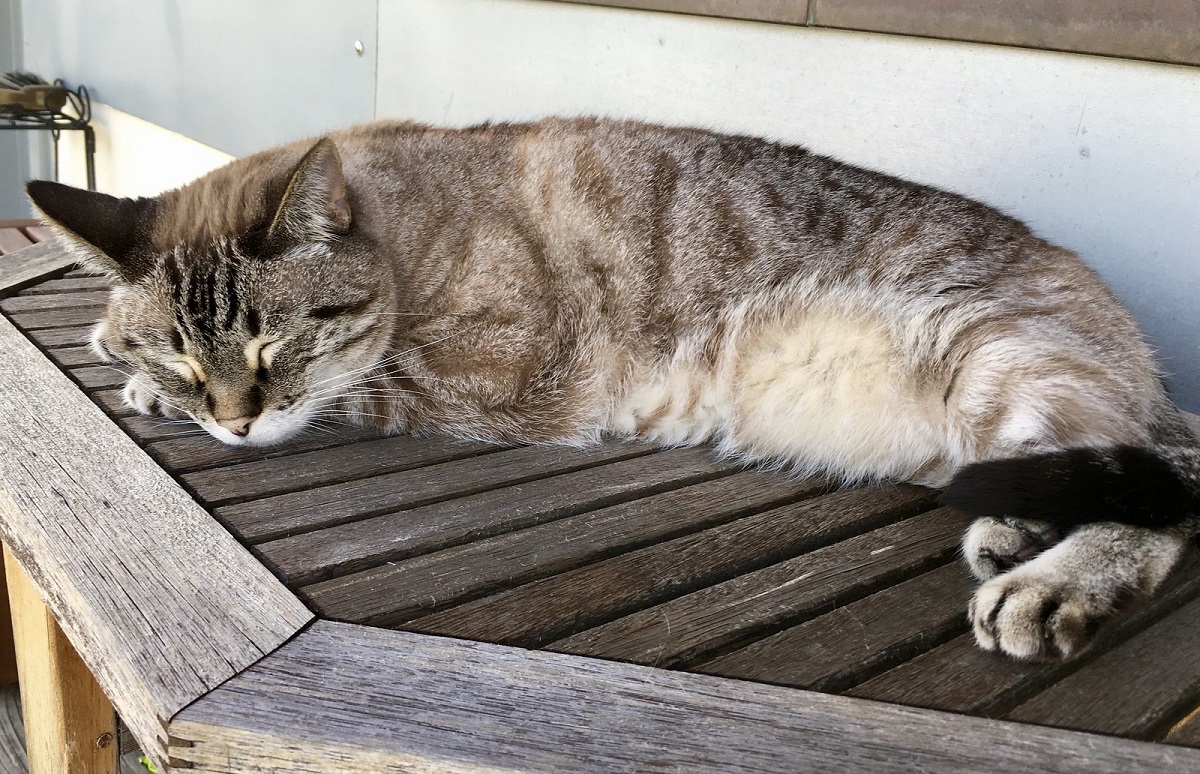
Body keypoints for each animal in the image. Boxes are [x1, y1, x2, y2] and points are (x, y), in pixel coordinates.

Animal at [25, 117, 1200, 662]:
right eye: (189, 356)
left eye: (271, 351)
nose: (229, 424)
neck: (395, 229)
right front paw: (124, 356)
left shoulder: (504, 374)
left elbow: (359, 384)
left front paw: (145, 388)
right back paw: (1014, 531)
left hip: (999, 354)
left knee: (1164, 499)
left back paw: (1047, 581)